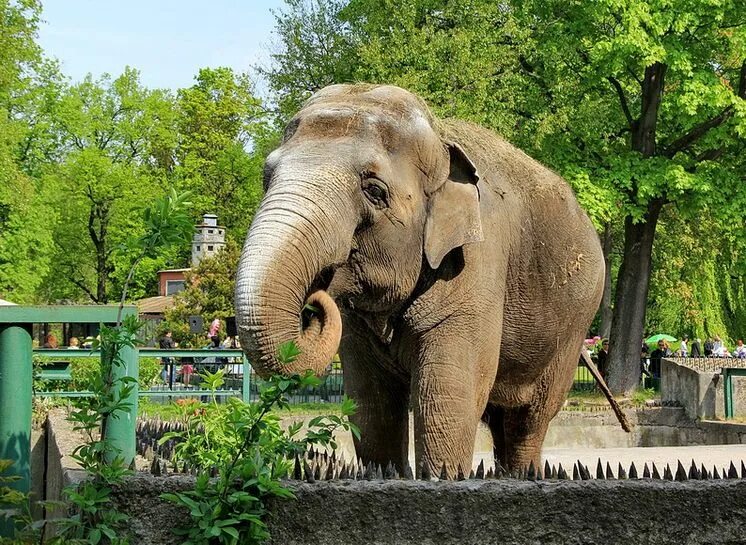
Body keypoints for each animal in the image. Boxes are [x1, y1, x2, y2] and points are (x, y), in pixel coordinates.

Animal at [235, 83, 608, 474]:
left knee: (529, 419)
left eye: (374, 191)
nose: (314, 301)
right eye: (266, 178)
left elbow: (446, 401)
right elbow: (370, 406)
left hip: (572, 328)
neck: (440, 139)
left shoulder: (478, 260)